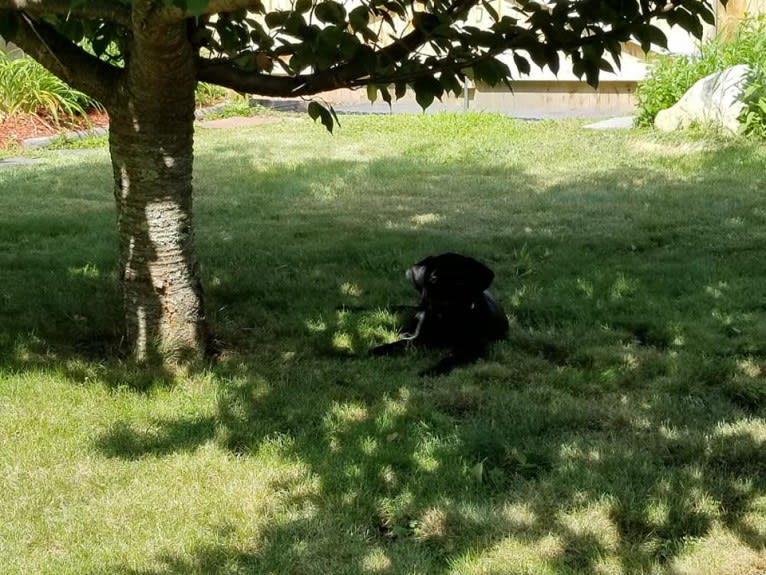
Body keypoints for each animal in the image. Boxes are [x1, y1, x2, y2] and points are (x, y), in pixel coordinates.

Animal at [374, 253, 510, 378]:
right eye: (434, 278)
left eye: (461, 281)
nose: (442, 304)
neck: (447, 319)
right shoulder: (421, 338)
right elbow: (397, 345)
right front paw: (375, 351)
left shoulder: (471, 348)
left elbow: (450, 359)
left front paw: (431, 371)